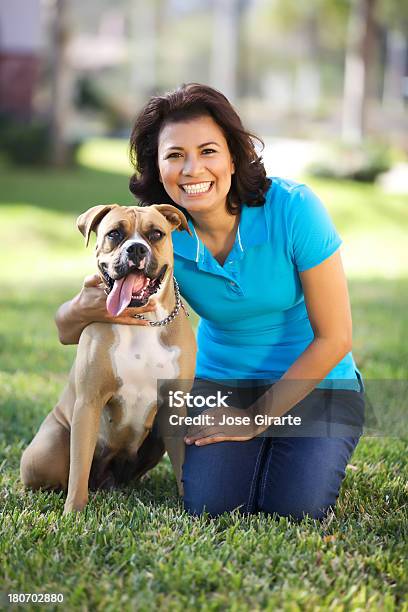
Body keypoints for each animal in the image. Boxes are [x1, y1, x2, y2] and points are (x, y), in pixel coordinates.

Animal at [19, 203, 197, 512]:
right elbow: (78, 468)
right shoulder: (89, 402)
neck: (142, 320)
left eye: (156, 234)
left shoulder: (174, 407)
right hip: (46, 452)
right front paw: (73, 512)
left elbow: (183, 464)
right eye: (114, 234)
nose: (136, 249)